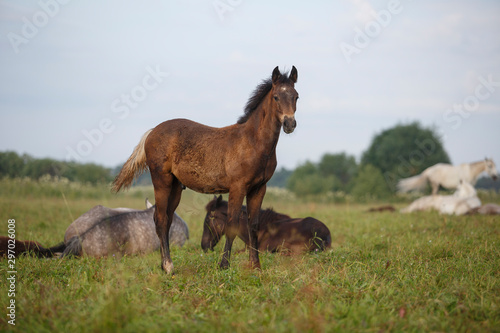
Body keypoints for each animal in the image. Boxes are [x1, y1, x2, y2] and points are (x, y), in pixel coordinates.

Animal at [113, 65, 298, 272]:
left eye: (296, 96)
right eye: (276, 97)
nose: (289, 124)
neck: (253, 142)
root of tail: (152, 131)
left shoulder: (259, 188)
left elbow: (254, 225)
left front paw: (256, 266)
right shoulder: (237, 187)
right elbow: (232, 224)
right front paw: (224, 265)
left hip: (176, 187)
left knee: (167, 219)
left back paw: (164, 264)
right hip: (161, 180)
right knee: (160, 219)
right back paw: (168, 266)